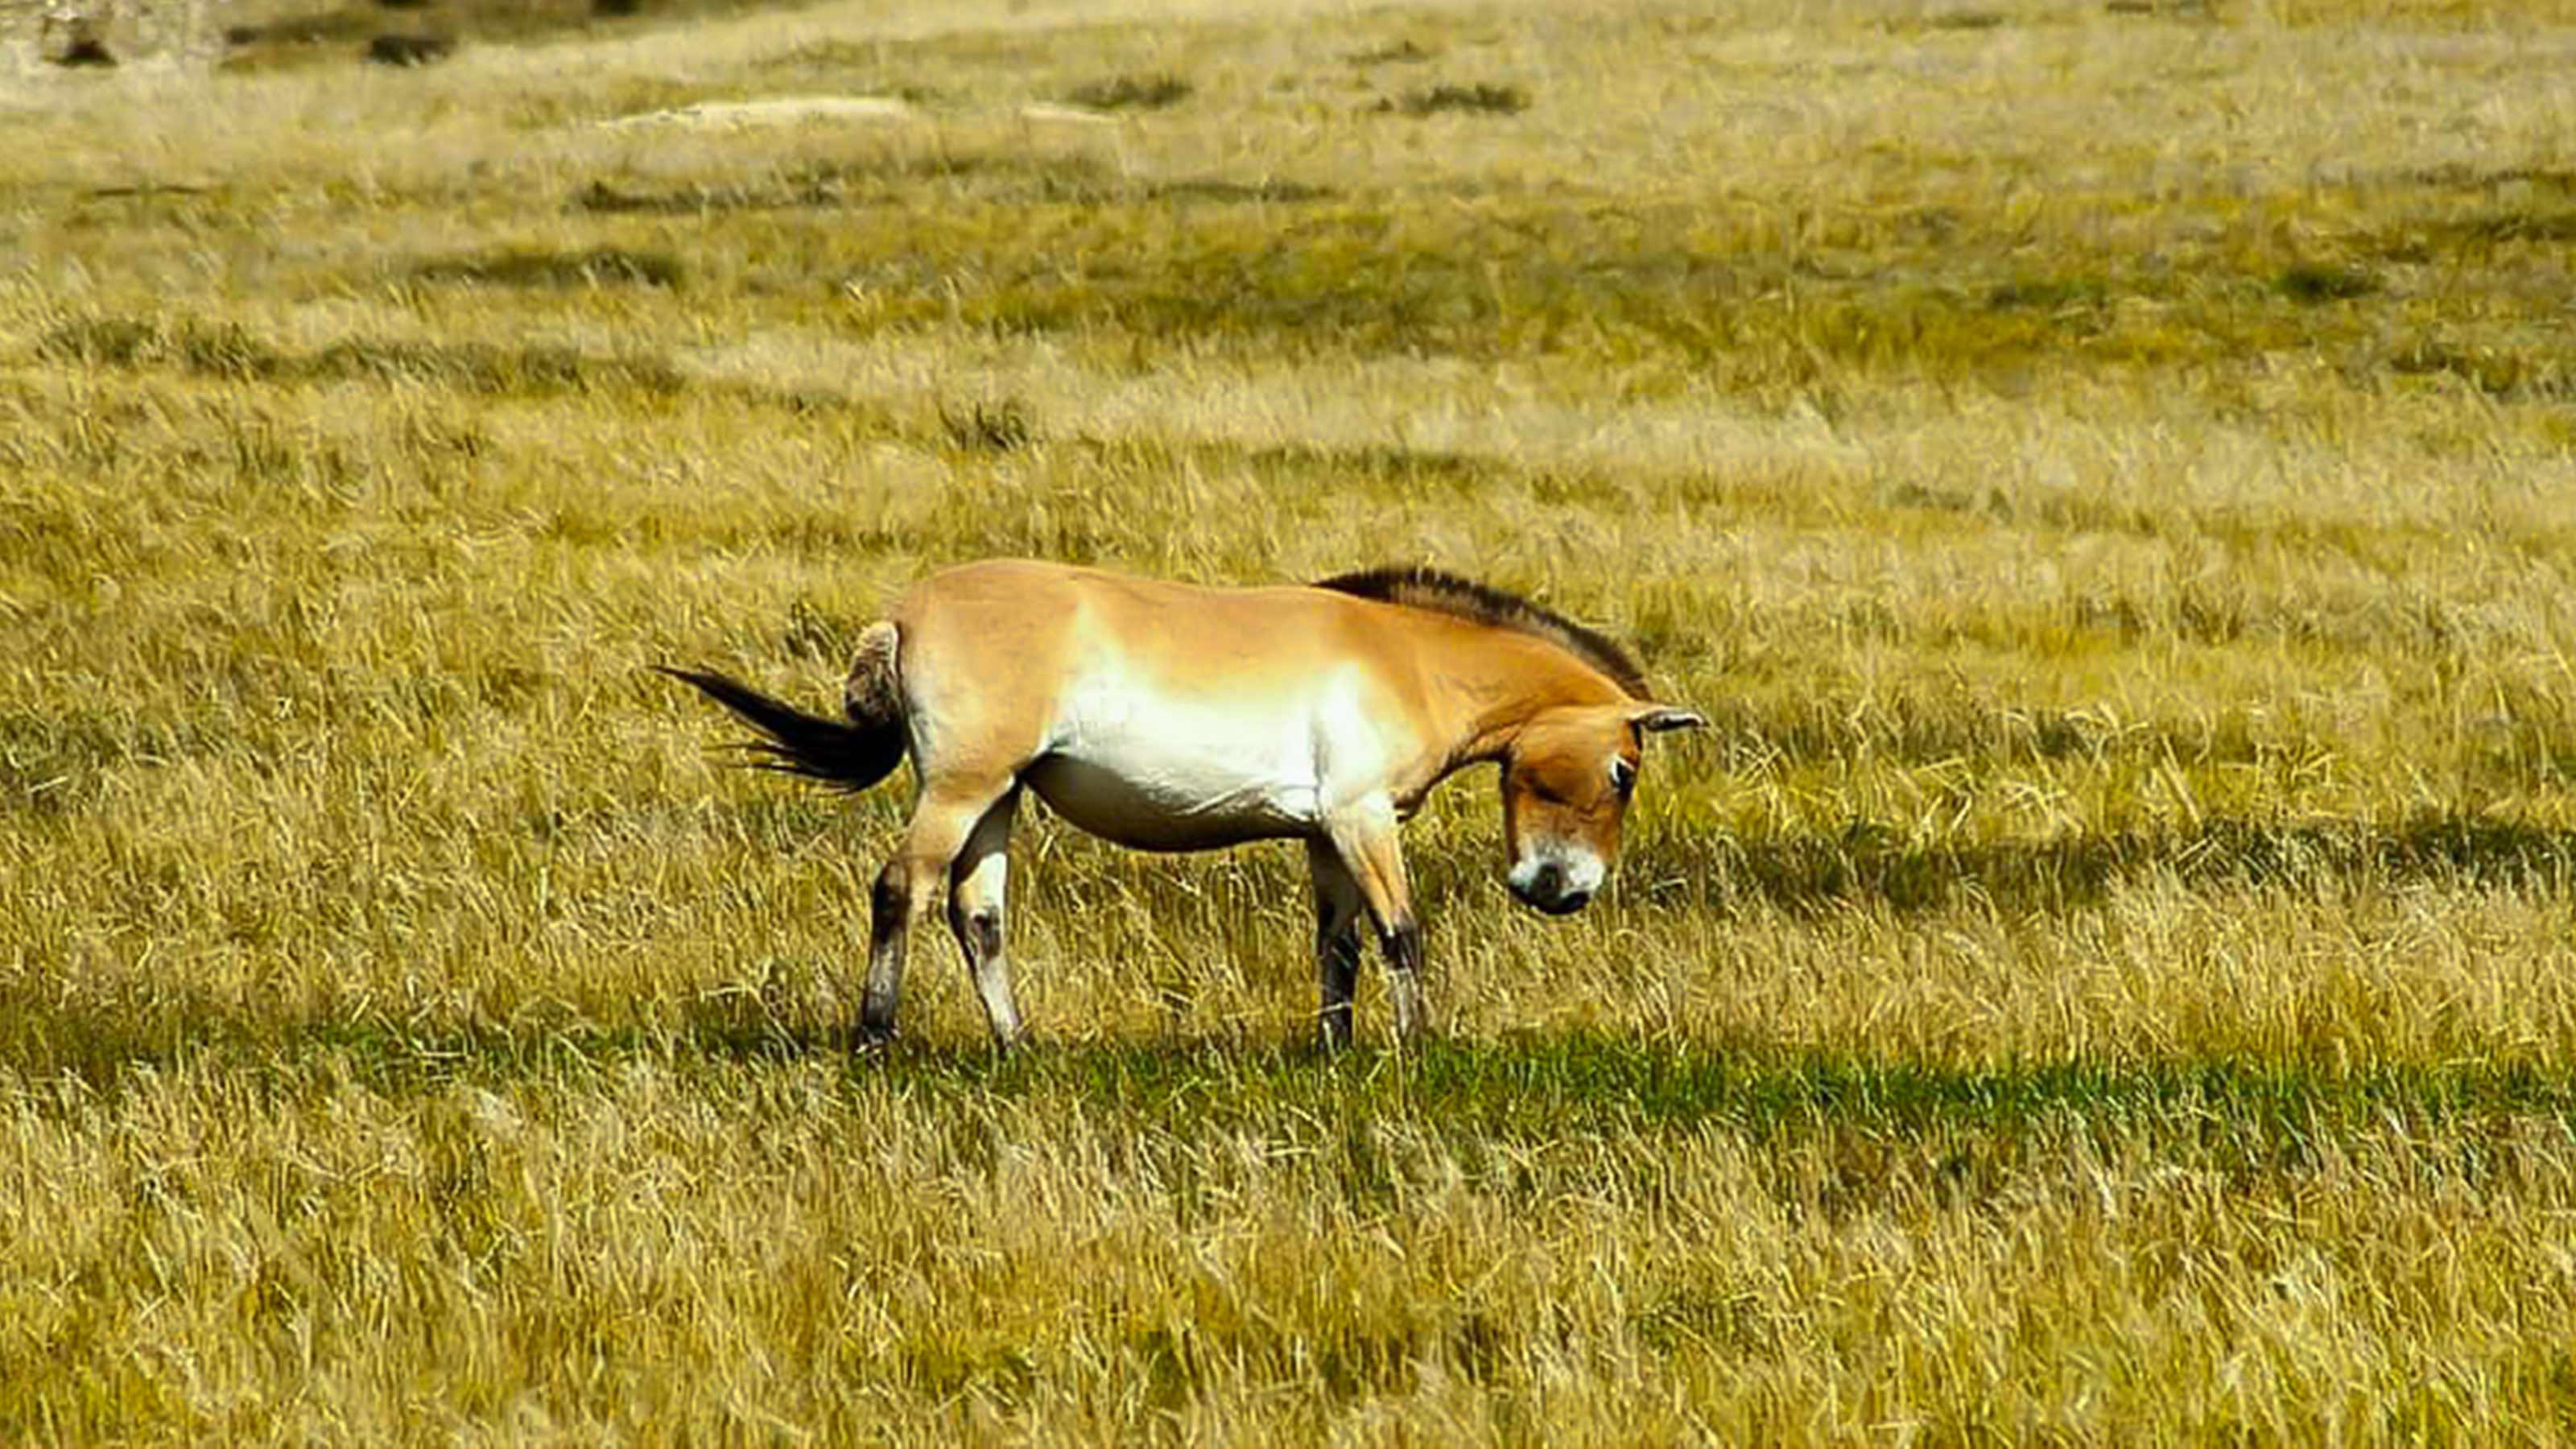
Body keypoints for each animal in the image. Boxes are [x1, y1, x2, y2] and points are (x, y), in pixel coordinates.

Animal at [661, 559, 1703, 1049]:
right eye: (1624, 770)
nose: (1562, 890)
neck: (1405, 657)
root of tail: (904, 615)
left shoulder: (1323, 833)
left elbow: (1337, 946)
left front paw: (1336, 1051)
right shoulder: (1362, 819)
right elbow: (1402, 933)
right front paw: (1414, 1051)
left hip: (999, 795)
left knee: (977, 914)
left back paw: (1016, 1045)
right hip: (960, 786)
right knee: (900, 889)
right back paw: (873, 1039)